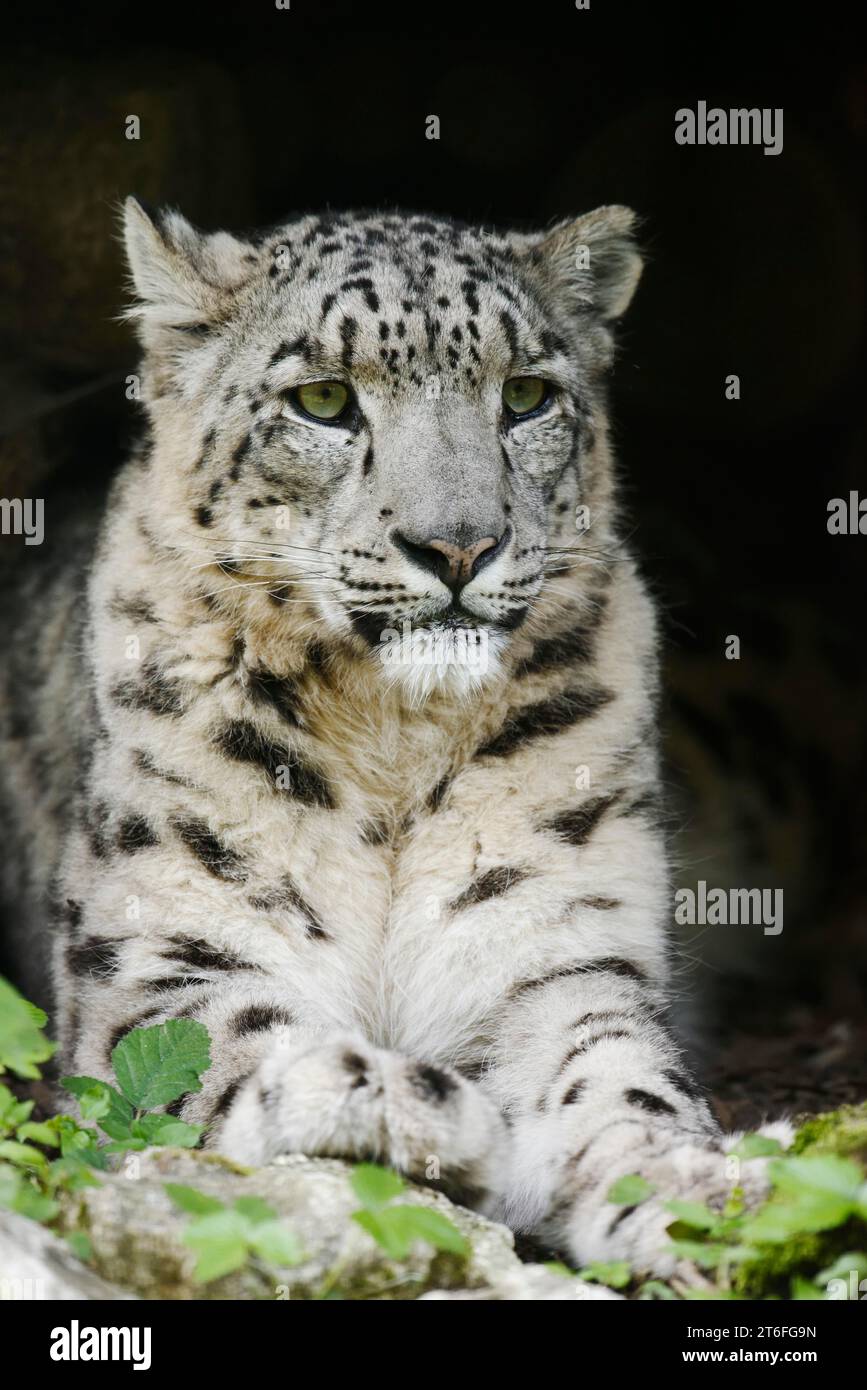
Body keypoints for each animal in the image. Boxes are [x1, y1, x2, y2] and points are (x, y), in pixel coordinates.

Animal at [0, 195, 783, 1273]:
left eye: (527, 394)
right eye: (324, 400)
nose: (458, 544)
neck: (393, 746)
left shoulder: (553, 956)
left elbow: (617, 1078)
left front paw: (701, 1193)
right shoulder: (163, 949)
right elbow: (235, 1036)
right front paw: (412, 1103)